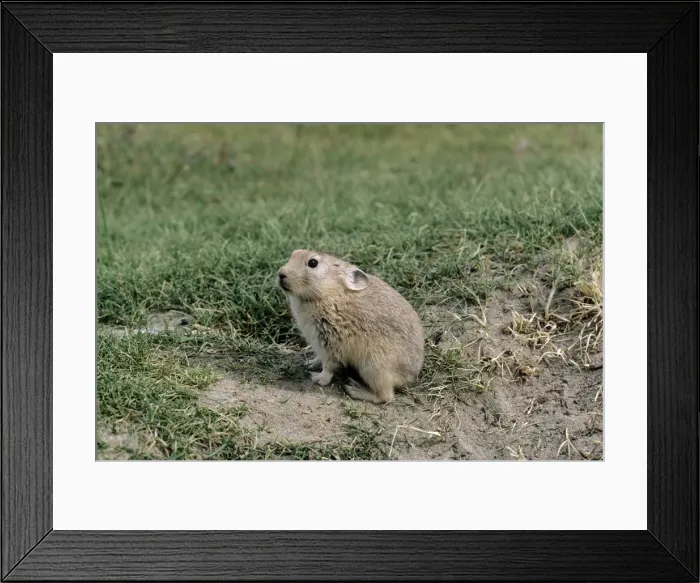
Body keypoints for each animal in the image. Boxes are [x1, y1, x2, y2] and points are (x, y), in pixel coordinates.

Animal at [277, 249, 424, 404]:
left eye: (313, 263)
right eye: (294, 253)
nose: (281, 274)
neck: (327, 293)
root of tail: (409, 375)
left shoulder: (331, 343)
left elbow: (329, 366)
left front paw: (318, 379)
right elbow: (319, 359)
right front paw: (310, 363)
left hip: (373, 367)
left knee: (386, 396)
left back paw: (354, 389)